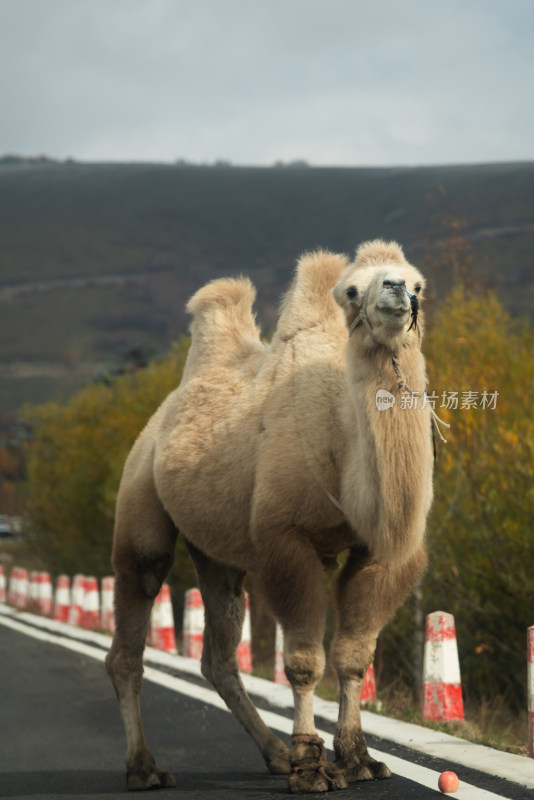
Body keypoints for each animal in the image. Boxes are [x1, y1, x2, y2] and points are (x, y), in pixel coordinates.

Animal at [105, 238, 436, 792]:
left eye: (418, 284)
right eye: (351, 290)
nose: (395, 292)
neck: (343, 443)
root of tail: (162, 414)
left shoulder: (380, 551)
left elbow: (353, 657)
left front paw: (358, 759)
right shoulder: (286, 537)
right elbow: (303, 661)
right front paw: (311, 767)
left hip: (217, 552)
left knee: (218, 655)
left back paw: (275, 754)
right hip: (139, 495)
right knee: (134, 617)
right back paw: (145, 769)